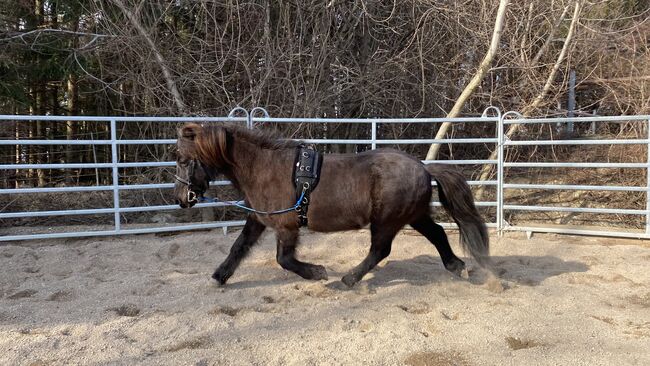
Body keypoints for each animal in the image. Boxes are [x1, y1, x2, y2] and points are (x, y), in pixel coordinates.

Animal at [172, 124, 486, 288]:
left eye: (183, 160)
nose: (180, 199)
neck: (263, 168)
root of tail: (423, 167)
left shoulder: (286, 225)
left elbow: (284, 259)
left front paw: (317, 272)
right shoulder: (259, 219)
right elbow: (239, 247)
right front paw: (220, 275)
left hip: (387, 220)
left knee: (380, 250)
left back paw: (347, 279)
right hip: (414, 215)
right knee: (438, 234)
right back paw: (456, 266)